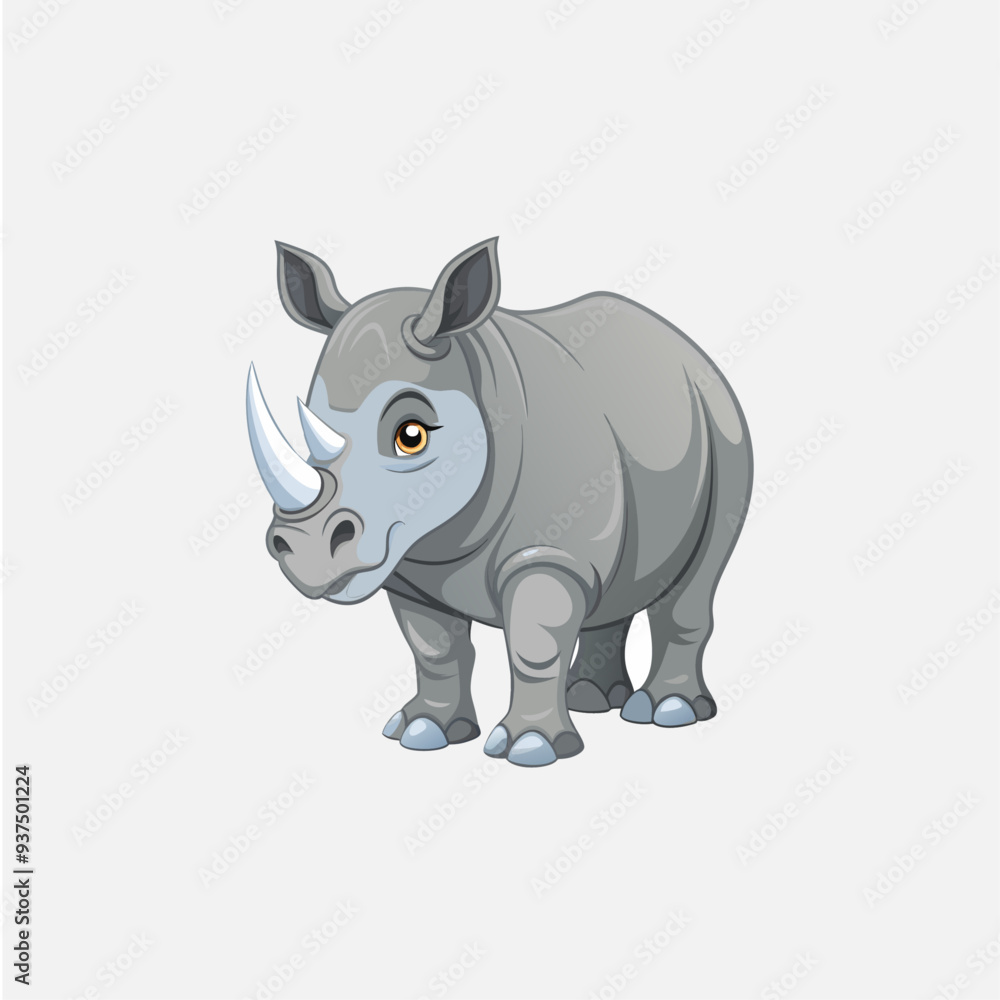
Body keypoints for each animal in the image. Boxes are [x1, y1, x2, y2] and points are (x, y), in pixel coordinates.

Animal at [246, 237, 752, 767]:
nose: (303, 547)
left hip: (725, 428)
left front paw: (530, 748)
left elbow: (533, 646)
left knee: (695, 581)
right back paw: (591, 699)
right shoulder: (408, 569)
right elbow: (434, 649)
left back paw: (667, 711)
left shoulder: (550, 555)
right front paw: (423, 730)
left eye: (411, 435)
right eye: (310, 424)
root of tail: (689, 349)